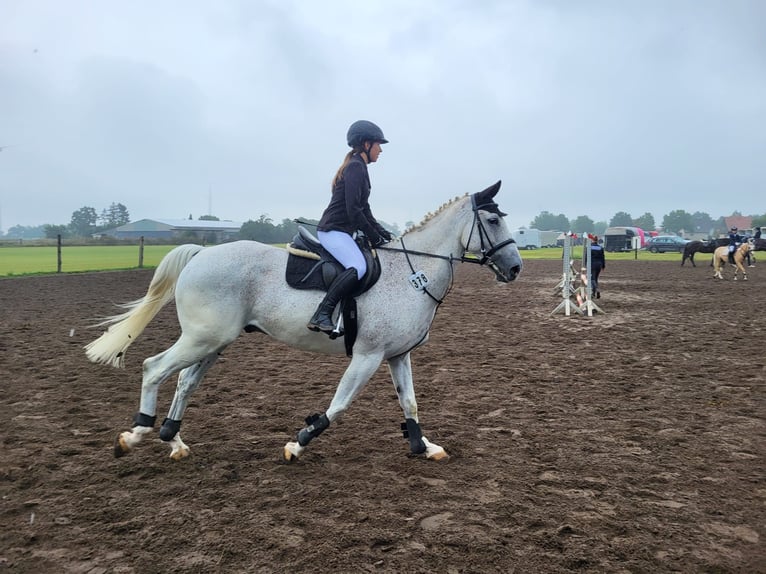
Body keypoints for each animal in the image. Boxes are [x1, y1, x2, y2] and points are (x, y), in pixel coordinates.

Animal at [85, 181, 523, 463]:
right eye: (493, 221)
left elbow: (410, 402)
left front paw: (423, 447)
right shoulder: (367, 355)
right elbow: (339, 405)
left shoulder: (398, 355)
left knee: (184, 382)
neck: (412, 272)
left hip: (213, 342)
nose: (516, 268)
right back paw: (135, 435)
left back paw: (172, 441)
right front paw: (299, 443)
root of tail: (201, 253)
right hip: (201, 339)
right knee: (154, 368)